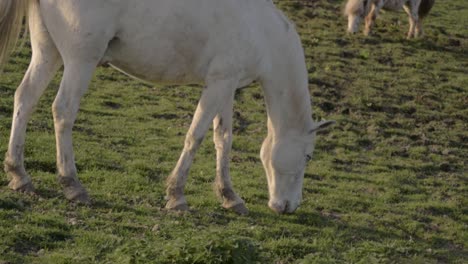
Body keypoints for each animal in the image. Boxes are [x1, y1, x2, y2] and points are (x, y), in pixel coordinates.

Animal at [1, 0, 334, 214]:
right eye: (308, 156)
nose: (288, 207)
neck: (261, 29)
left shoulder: (225, 85)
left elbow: (223, 139)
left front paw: (229, 196)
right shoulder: (218, 84)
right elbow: (195, 136)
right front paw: (177, 195)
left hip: (48, 52)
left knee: (24, 99)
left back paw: (19, 175)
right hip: (80, 61)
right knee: (63, 111)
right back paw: (72, 184)